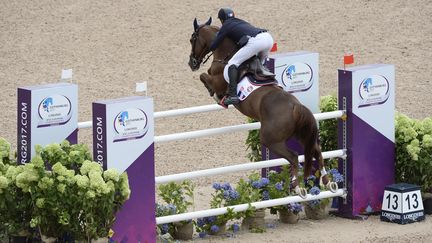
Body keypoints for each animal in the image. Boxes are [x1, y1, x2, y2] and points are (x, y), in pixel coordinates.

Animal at [188, 17, 338, 197]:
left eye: (192, 39)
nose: (191, 63)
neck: (225, 56)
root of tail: (295, 106)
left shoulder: (218, 80)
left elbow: (204, 77)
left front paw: (217, 96)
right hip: (300, 133)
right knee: (316, 151)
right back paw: (328, 182)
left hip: (269, 138)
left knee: (294, 156)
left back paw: (298, 187)